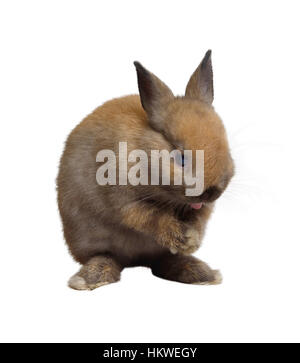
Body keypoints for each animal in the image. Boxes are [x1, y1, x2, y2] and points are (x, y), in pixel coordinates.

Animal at [56, 50, 234, 290]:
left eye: (226, 144)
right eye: (181, 158)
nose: (212, 192)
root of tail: (136, 261)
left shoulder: (202, 209)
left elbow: (198, 218)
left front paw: (192, 242)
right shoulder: (124, 202)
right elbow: (150, 217)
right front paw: (182, 238)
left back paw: (198, 272)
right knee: (106, 256)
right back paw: (90, 277)